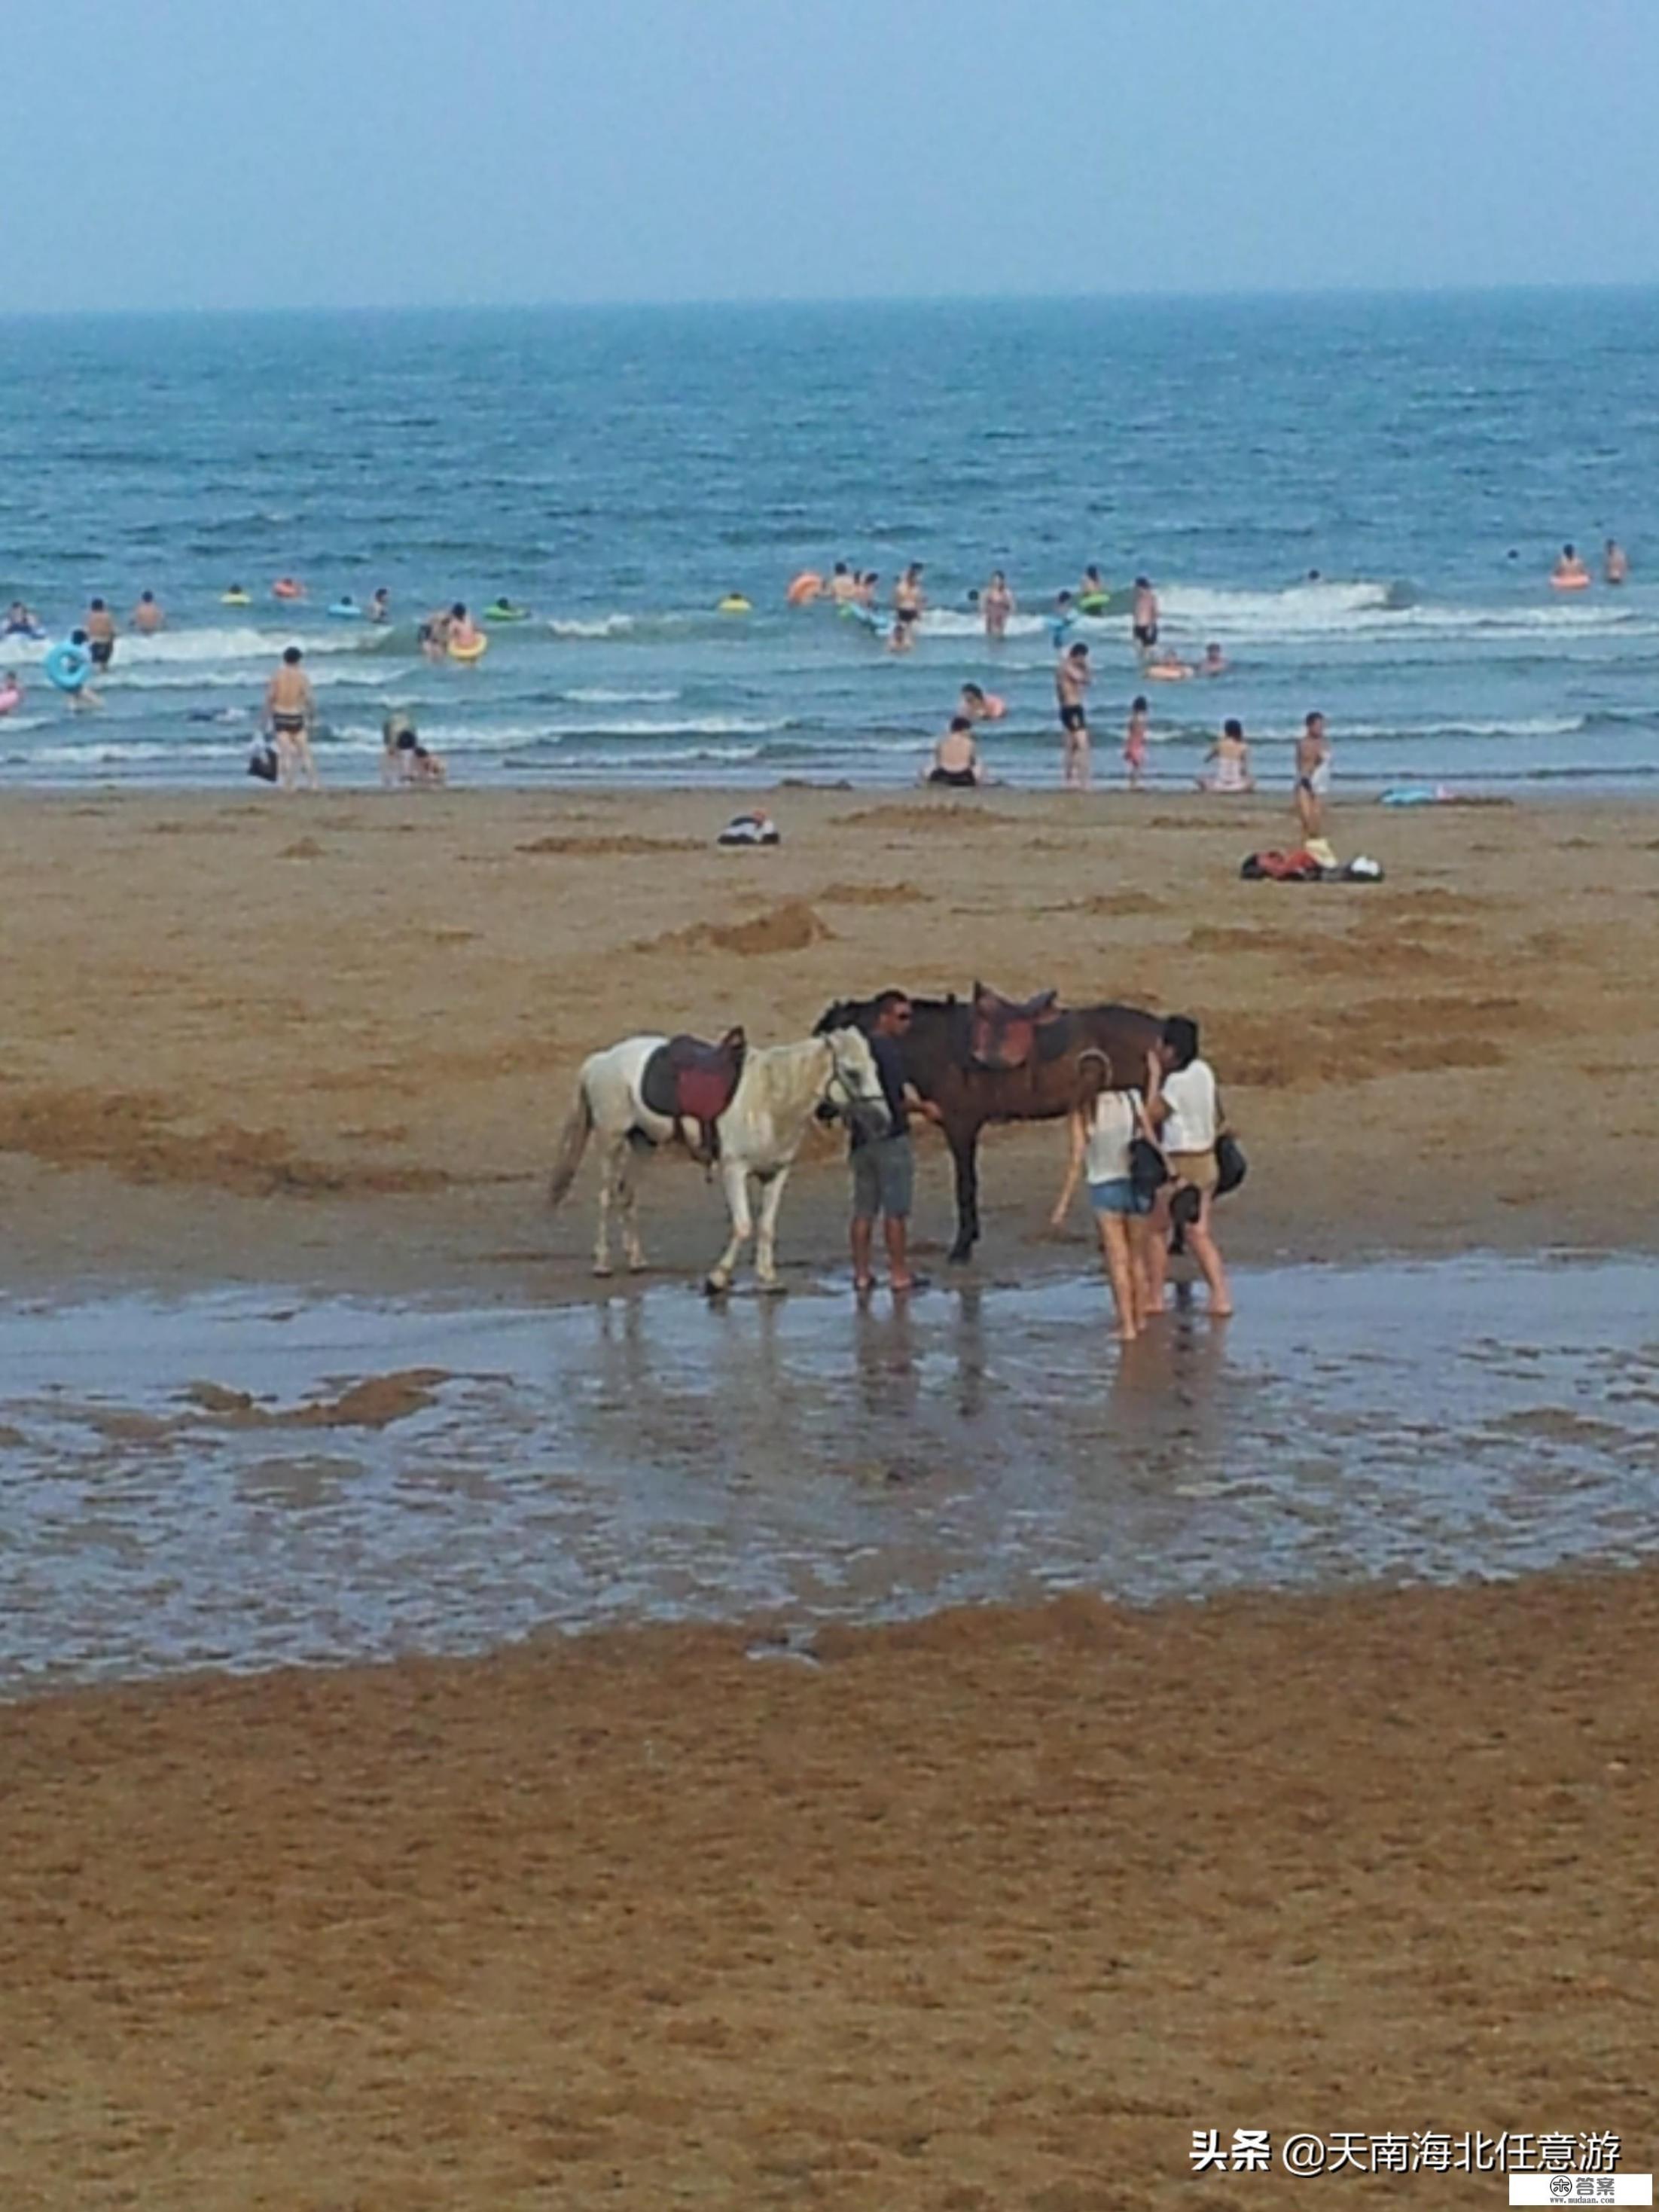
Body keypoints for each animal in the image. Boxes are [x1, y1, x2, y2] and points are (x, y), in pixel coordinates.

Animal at [548, 1021, 889, 1292]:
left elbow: (766, 1227)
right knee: (606, 1196)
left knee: (627, 1194)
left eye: (874, 1067)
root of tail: (602, 1060)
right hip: (612, 1140)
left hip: (643, 1143)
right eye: (852, 1073)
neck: (769, 1101)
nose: (885, 1121)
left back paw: (636, 1260)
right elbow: (744, 1225)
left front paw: (768, 1279)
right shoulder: (734, 1171)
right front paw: (718, 1278)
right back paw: (602, 1264)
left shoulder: (776, 1173)